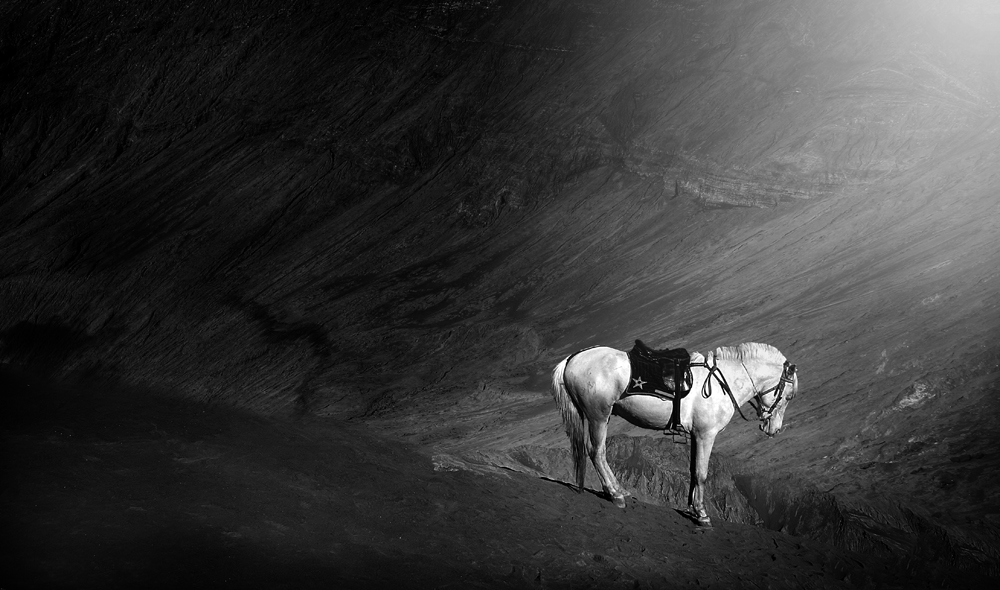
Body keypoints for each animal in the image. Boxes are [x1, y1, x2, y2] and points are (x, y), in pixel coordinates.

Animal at [550, 342, 798, 526]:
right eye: (788, 396)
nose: (773, 429)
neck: (722, 382)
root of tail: (572, 359)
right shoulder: (706, 435)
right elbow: (701, 473)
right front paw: (702, 515)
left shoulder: (696, 436)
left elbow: (693, 471)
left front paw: (691, 508)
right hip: (598, 416)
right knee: (597, 452)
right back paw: (615, 494)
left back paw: (619, 490)